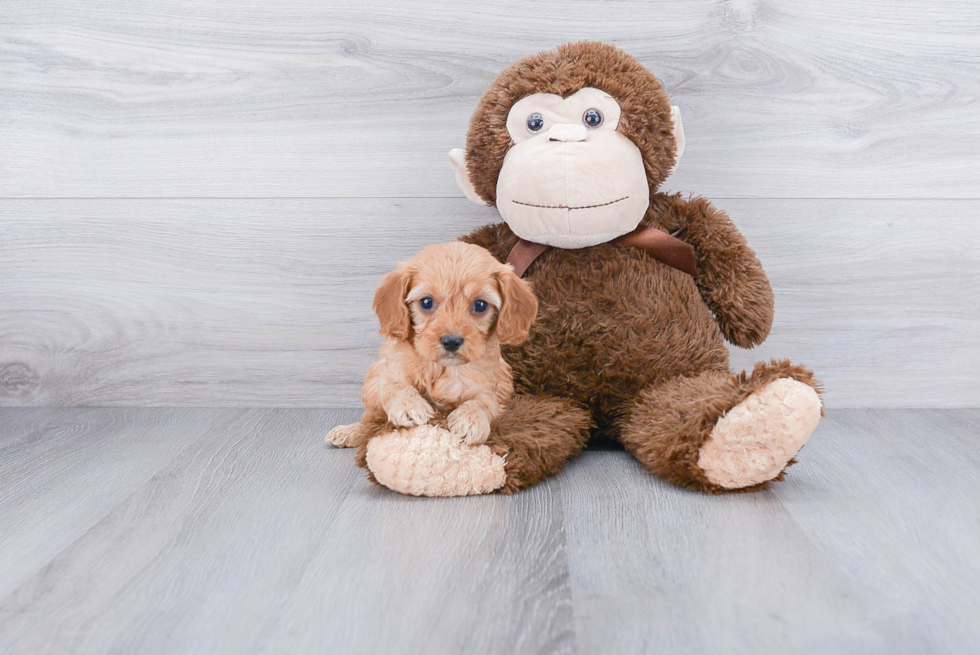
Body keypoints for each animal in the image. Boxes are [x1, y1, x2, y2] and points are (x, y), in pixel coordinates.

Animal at [326, 241, 536, 452]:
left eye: (480, 305)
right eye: (426, 302)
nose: (451, 341)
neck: (442, 367)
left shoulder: (488, 386)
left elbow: (483, 402)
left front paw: (471, 420)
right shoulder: (390, 371)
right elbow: (396, 386)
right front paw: (409, 406)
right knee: (370, 421)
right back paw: (349, 432)